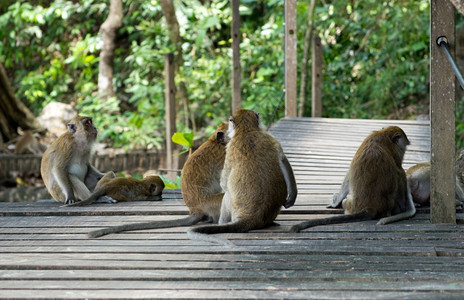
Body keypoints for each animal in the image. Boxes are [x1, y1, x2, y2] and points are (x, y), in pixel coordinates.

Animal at [187, 109, 300, 245]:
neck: (246, 131)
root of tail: (250, 218)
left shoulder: (229, 148)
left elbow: (224, 183)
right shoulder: (269, 139)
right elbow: (282, 160)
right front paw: (292, 196)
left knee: (226, 195)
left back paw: (222, 222)